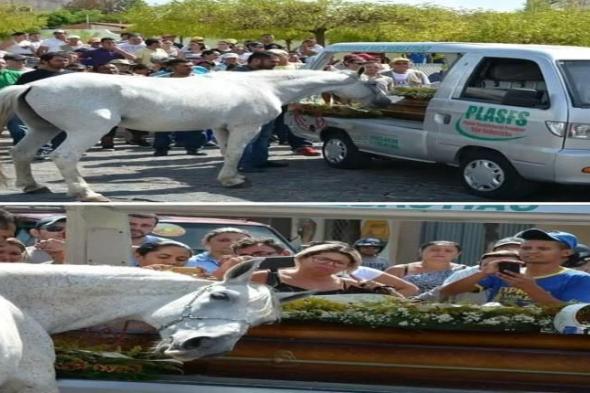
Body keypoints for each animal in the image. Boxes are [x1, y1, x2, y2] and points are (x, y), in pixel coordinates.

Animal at [0, 68, 388, 201]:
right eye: (373, 83)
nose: (385, 102)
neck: (262, 84)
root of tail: (32, 83)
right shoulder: (245, 127)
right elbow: (236, 152)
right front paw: (233, 180)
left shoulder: (221, 127)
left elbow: (226, 152)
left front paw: (230, 177)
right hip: (86, 130)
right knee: (64, 157)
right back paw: (86, 193)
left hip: (42, 128)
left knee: (22, 154)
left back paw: (32, 186)